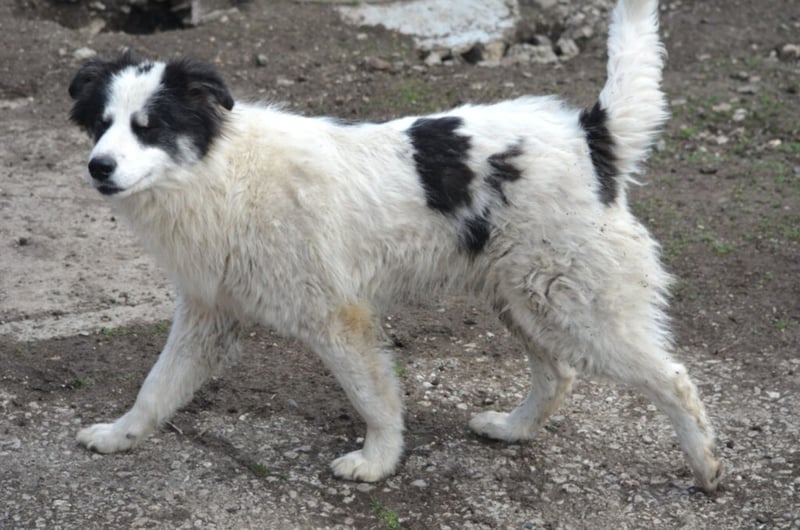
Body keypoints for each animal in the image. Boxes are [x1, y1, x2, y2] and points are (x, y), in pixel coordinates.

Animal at [68, 0, 722, 492]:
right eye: (101, 125)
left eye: (150, 127)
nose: (99, 168)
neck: (220, 172)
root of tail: (589, 135)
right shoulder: (209, 314)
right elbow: (156, 388)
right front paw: (120, 435)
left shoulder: (337, 317)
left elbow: (373, 398)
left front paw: (377, 462)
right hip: (525, 299)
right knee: (559, 375)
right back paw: (512, 430)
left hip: (574, 305)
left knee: (674, 378)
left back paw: (706, 467)